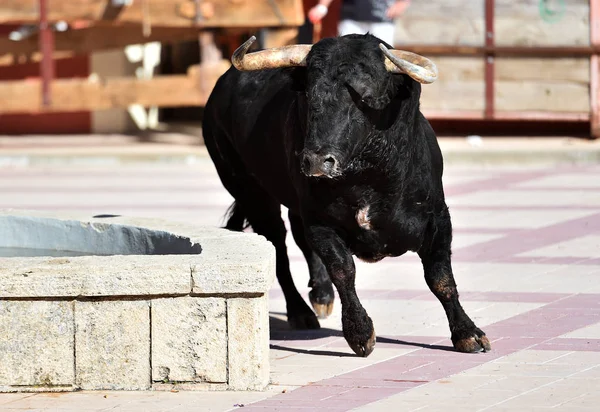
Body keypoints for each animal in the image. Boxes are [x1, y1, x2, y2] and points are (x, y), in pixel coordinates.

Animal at [204, 33, 490, 358]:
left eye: (364, 97)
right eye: (308, 95)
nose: (316, 161)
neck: (368, 178)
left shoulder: (437, 218)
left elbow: (440, 278)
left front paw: (468, 333)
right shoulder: (321, 223)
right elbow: (343, 270)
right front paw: (360, 334)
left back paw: (321, 296)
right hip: (251, 193)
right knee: (279, 247)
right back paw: (301, 312)